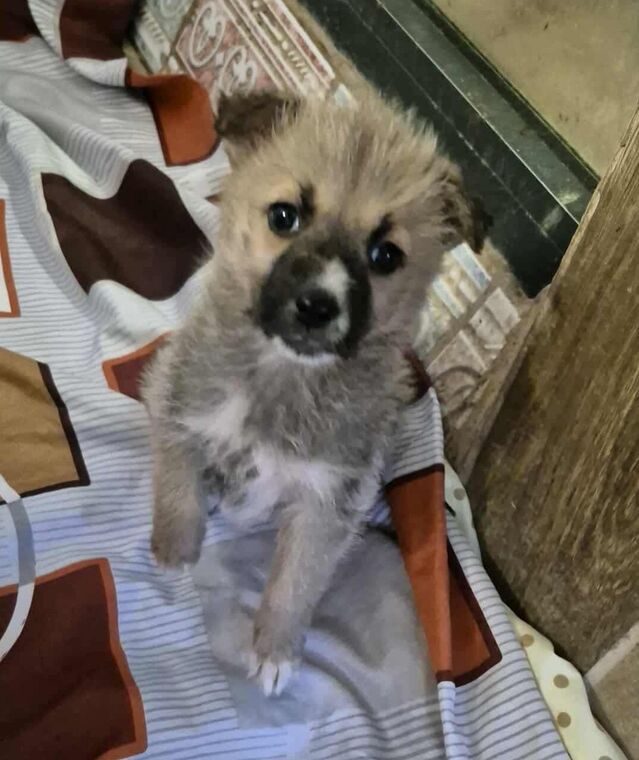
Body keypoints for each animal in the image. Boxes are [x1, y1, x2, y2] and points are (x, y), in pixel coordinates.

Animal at [142, 88, 487, 696]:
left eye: (386, 255)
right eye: (285, 216)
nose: (318, 305)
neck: (286, 375)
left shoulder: (328, 500)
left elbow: (296, 580)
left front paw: (275, 650)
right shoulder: (176, 396)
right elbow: (177, 478)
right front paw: (176, 549)